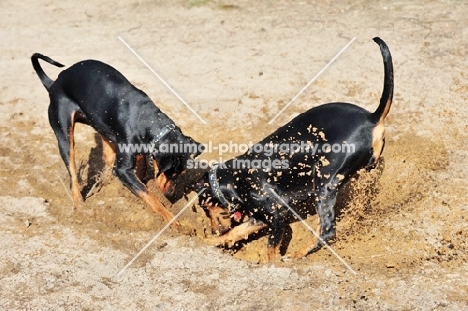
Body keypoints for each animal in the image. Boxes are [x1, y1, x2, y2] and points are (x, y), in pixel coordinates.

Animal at [31, 53, 203, 229]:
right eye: (171, 173)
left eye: (180, 173)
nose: (170, 195)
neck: (148, 121)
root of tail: (53, 84)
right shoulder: (122, 170)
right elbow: (148, 194)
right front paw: (171, 219)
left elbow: (140, 177)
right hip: (65, 137)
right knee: (73, 176)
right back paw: (81, 208)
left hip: (99, 124)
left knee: (106, 155)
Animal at [188, 37, 394, 260]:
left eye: (205, 208)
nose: (213, 229)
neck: (235, 178)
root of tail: (372, 118)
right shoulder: (260, 217)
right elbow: (235, 232)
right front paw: (208, 241)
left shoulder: (276, 214)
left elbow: (271, 250)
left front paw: (274, 264)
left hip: (324, 184)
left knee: (327, 230)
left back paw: (297, 255)